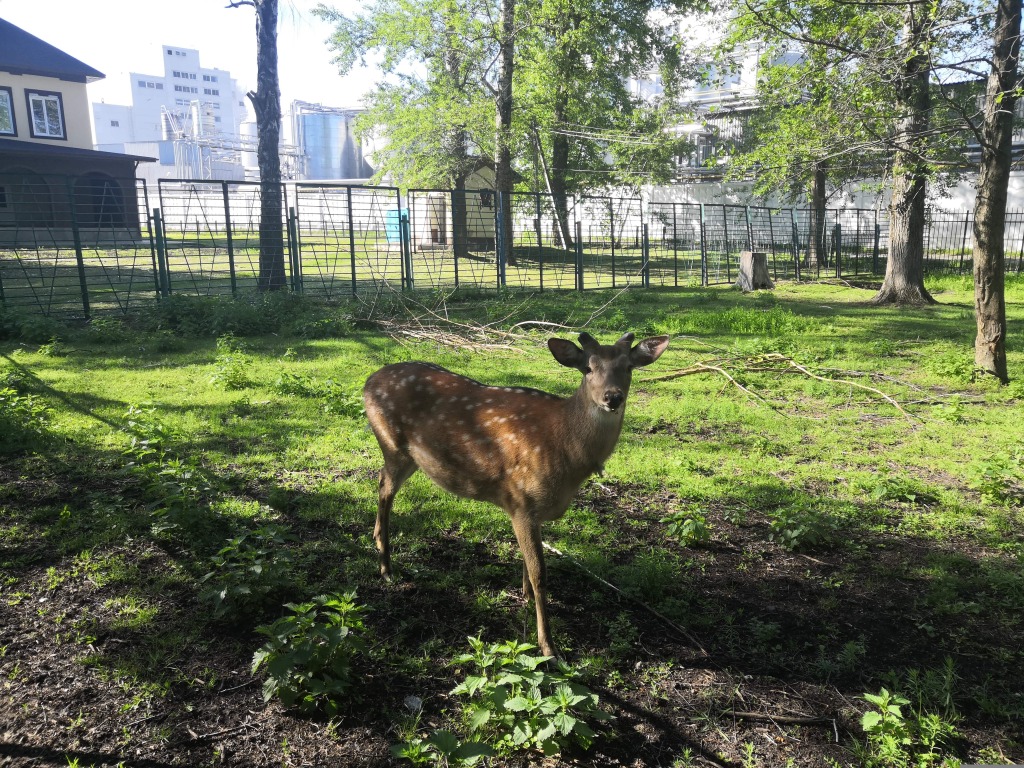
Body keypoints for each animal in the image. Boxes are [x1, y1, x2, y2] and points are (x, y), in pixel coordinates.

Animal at [362, 333, 671, 659]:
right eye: (588, 368)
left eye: (628, 367)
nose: (612, 397)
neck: (566, 451)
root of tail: (368, 381)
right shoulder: (520, 500)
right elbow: (540, 573)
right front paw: (548, 645)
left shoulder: (534, 510)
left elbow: (528, 562)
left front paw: (525, 596)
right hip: (392, 444)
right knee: (384, 487)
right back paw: (385, 567)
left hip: (409, 457)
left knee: (381, 481)